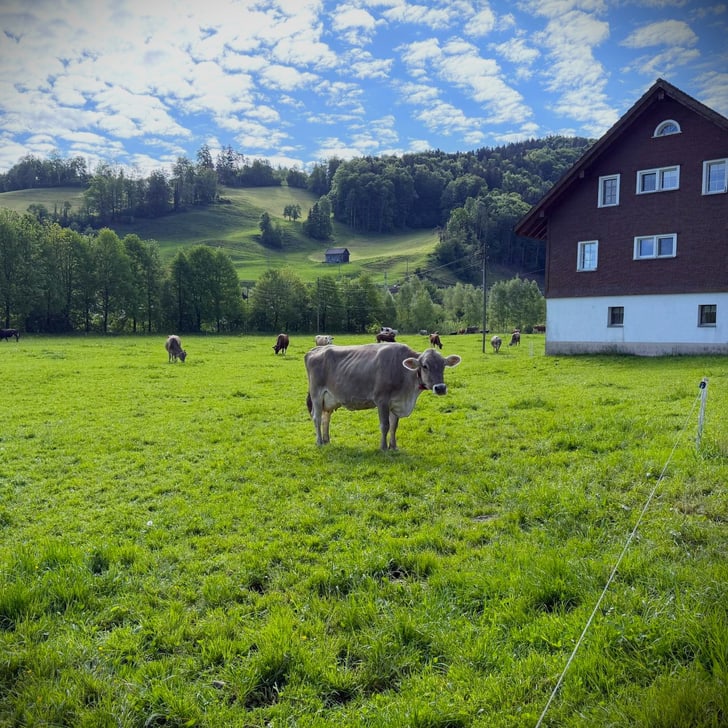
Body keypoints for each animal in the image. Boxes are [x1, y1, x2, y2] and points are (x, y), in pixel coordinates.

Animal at [304, 342, 462, 451]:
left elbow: (394, 426)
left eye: (443, 365)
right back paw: (319, 441)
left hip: (329, 399)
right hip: (316, 394)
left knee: (326, 417)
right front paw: (383, 447)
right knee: (317, 417)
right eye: (425, 366)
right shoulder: (382, 400)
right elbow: (385, 425)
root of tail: (316, 349)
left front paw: (394, 446)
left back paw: (327, 440)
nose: (440, 388)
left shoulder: (396, 403)